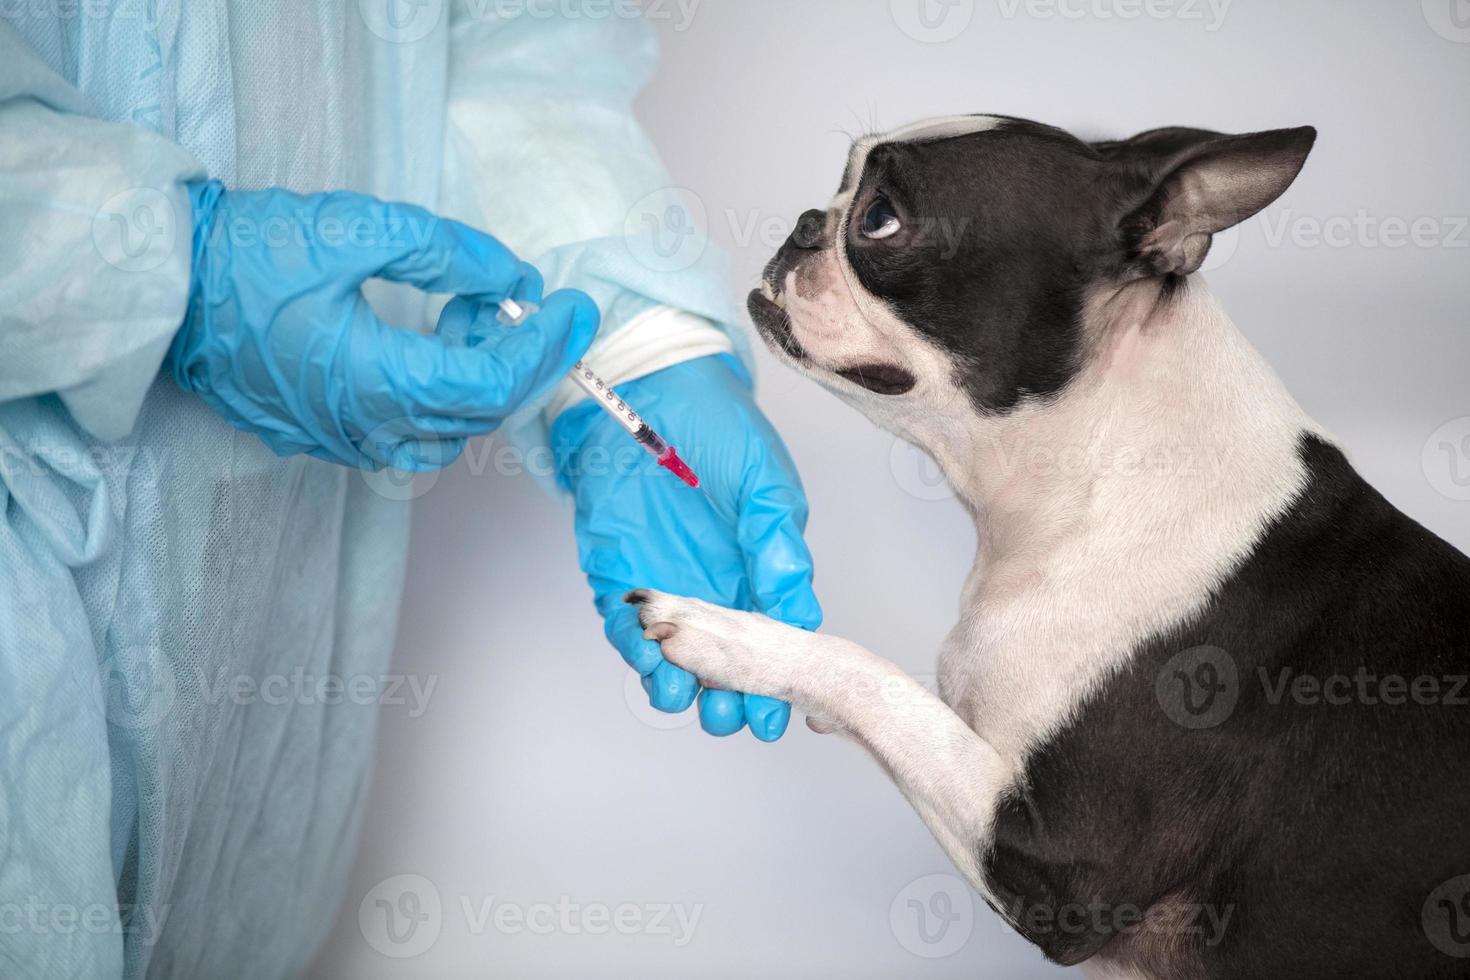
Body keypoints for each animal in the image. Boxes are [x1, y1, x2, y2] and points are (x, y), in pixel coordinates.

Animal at [626, 116, 1470, 980]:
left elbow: (881, 685)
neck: (1094, 472)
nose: (802, 223)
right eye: (841, 182)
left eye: (881, 219)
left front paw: (739, 639)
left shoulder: (1064, 868)